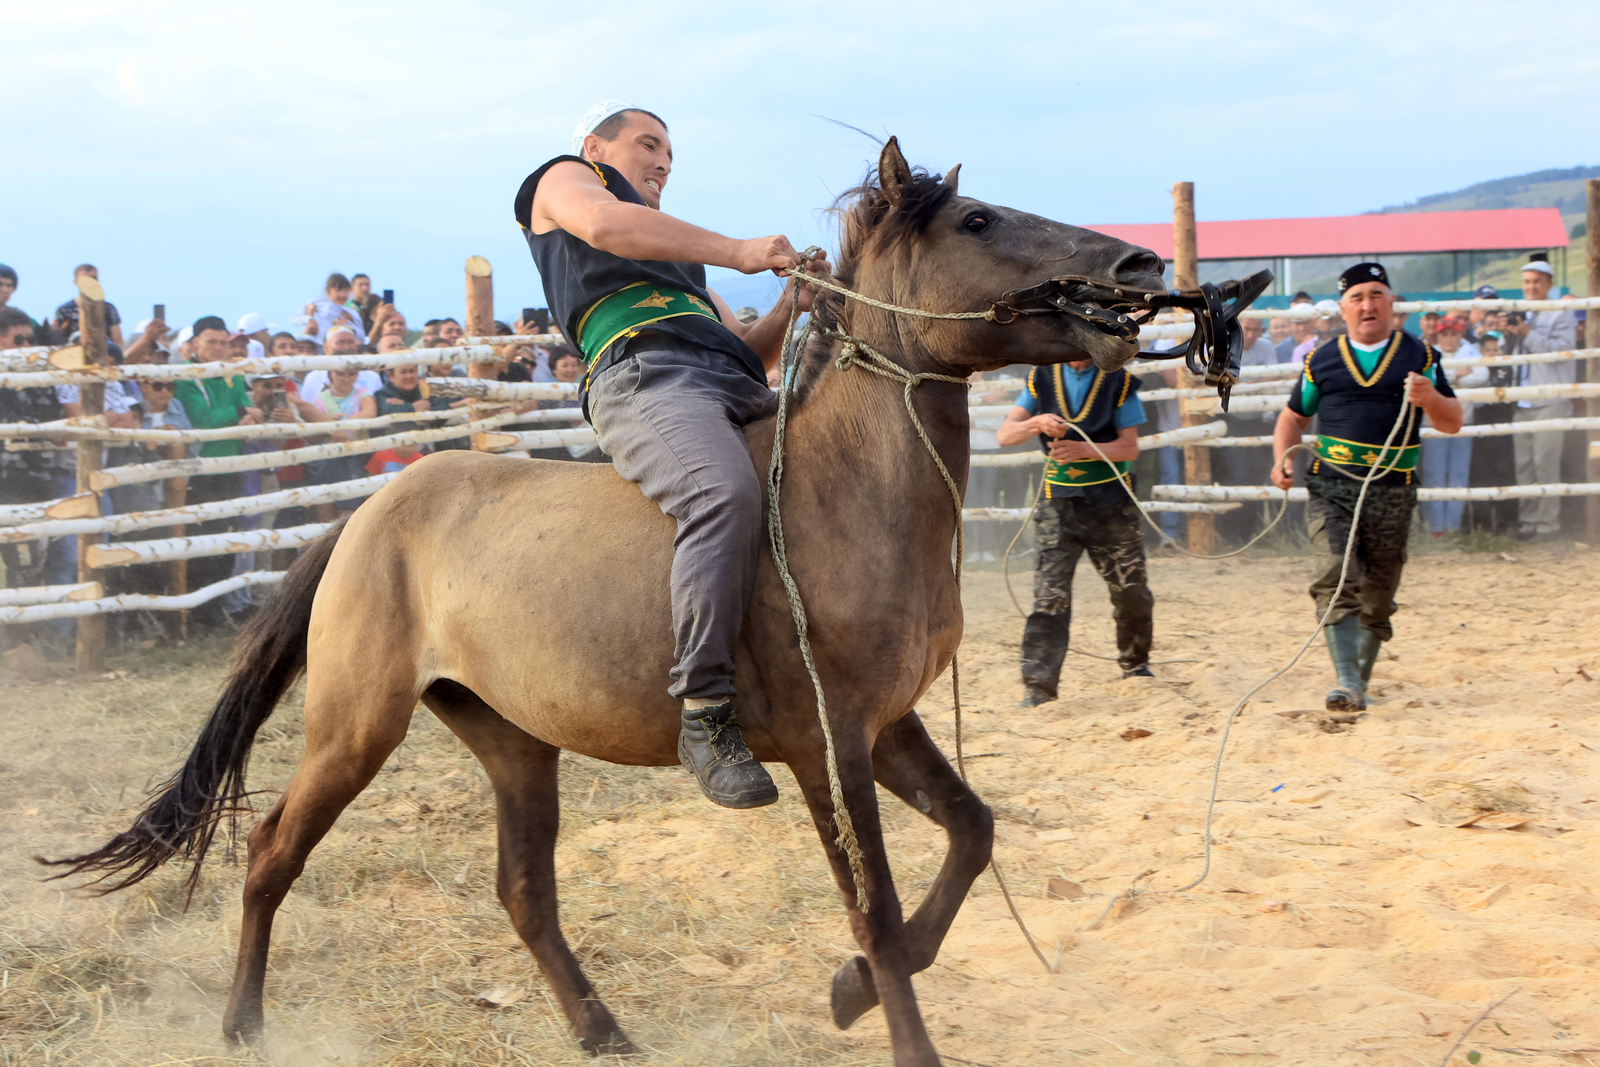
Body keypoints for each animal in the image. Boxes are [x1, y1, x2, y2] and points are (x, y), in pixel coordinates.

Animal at [43, 135, 1158, 1067]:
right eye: (978, 221)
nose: (1137, 271)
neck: (841, 489)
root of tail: (369, 511)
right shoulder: (827, 742)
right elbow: (875, 911)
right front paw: (889, 1018)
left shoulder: (885, 724)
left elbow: (971, 832)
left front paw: (847, 993)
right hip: (355, 724)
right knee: (273, 850)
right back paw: (243, 1023)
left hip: (512, 739)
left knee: (525, 891)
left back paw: (601, 1029)